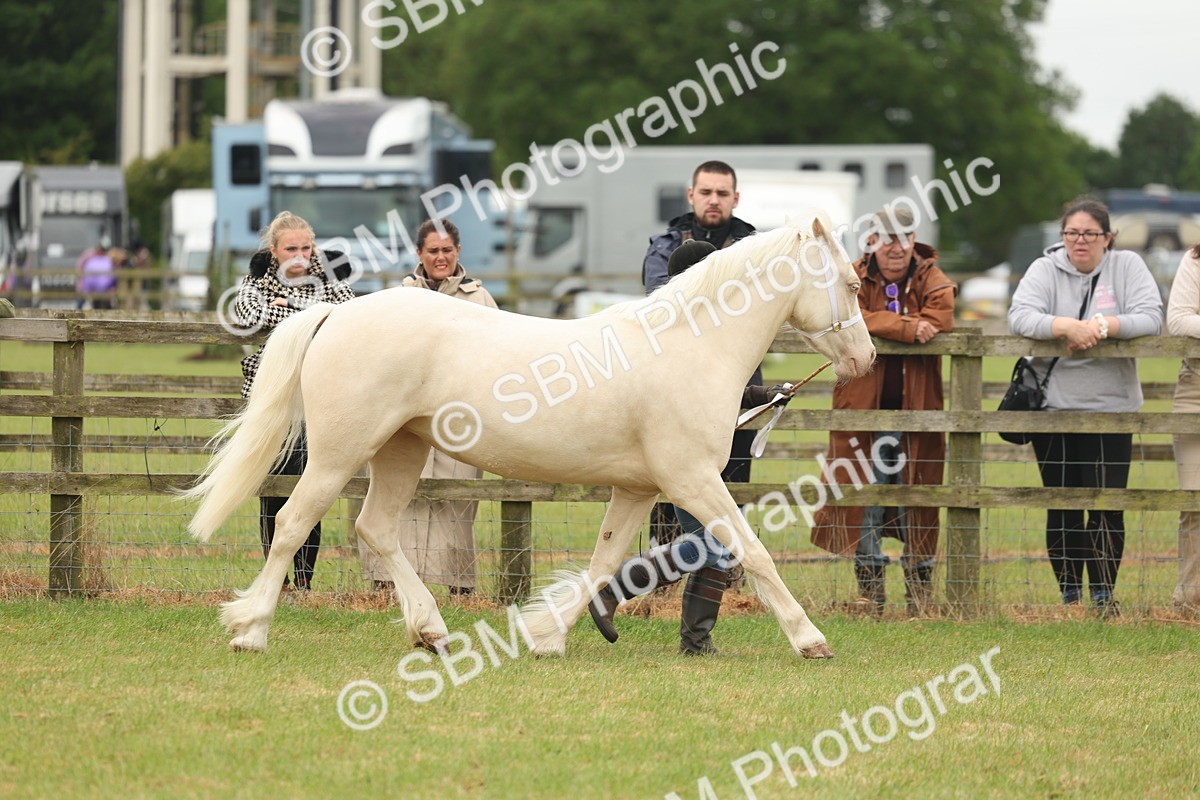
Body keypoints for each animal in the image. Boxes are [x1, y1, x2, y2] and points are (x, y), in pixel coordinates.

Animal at [183, 215, 875, 657]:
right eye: (850, 282)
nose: (866, 358)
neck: (686, 344)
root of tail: (334, 312)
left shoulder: (638, 489)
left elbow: (603, 561)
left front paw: (547, 636)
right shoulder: (694, 480)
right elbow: (753, 552)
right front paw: (811, 640)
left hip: (402, 450)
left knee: (375, 531)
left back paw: (432, 632)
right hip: (336, 454)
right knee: (292, 525)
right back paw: (251, 630)